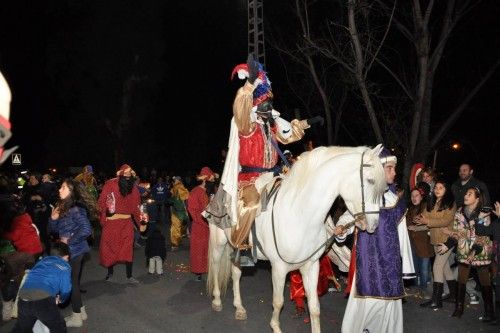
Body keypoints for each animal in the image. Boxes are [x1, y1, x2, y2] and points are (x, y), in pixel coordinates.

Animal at [207, 144, 386, 330]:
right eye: (370, 180)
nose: (373, 225)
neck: (299, 213)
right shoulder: (278, 268)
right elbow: (278, 302)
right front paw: (275, 326)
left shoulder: (311, 266)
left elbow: (314, 307)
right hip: (219, 243)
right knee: (216, 264)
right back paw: (217, 301)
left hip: (235, 247)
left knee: (236, 273)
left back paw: (239, 308)